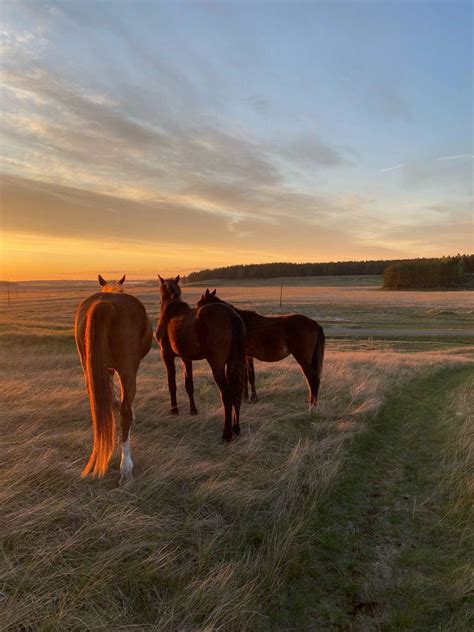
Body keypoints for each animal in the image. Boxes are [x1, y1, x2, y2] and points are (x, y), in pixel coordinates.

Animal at [74, 274, 152, 482]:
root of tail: (107, 303)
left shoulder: (104, 369)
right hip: (128, 369)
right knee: (125, 413)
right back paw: (126, 466)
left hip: (88, 368)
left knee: (98, 405)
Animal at [156, 274, 246, 442]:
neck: (171, 312)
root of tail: (232, 316)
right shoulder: (186, 358)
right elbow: (189, 385)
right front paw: (193, 411)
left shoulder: (167, 355)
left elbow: (172, 383)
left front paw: (174, 410)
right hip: (234, 362)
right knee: (236, 392)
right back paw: (236, 428)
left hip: (217, 364)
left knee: (227, 394)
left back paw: (226, 434)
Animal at [197, 288, 326, 408]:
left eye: (199, 303)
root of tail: (314, 324)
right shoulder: (247, 355)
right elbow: (249, 376)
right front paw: (250, 398)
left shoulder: (244, 355)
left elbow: (246, 376)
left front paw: (247, 398)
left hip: (303, 359)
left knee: (312, 378)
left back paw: (312, 404)